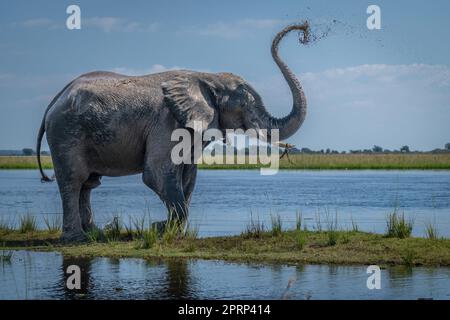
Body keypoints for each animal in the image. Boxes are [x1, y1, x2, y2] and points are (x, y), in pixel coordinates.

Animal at [36, 23, 310, 242]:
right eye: (245, 105)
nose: (302, 30)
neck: (206, 77)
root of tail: (54, 100)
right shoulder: (166, 121)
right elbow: (157, 174)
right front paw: (160, 230)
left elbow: (187, 177)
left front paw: (169, 231)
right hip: (65, 133)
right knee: (74, 180)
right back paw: (76, 239)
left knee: (89, 184)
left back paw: (95, 234)